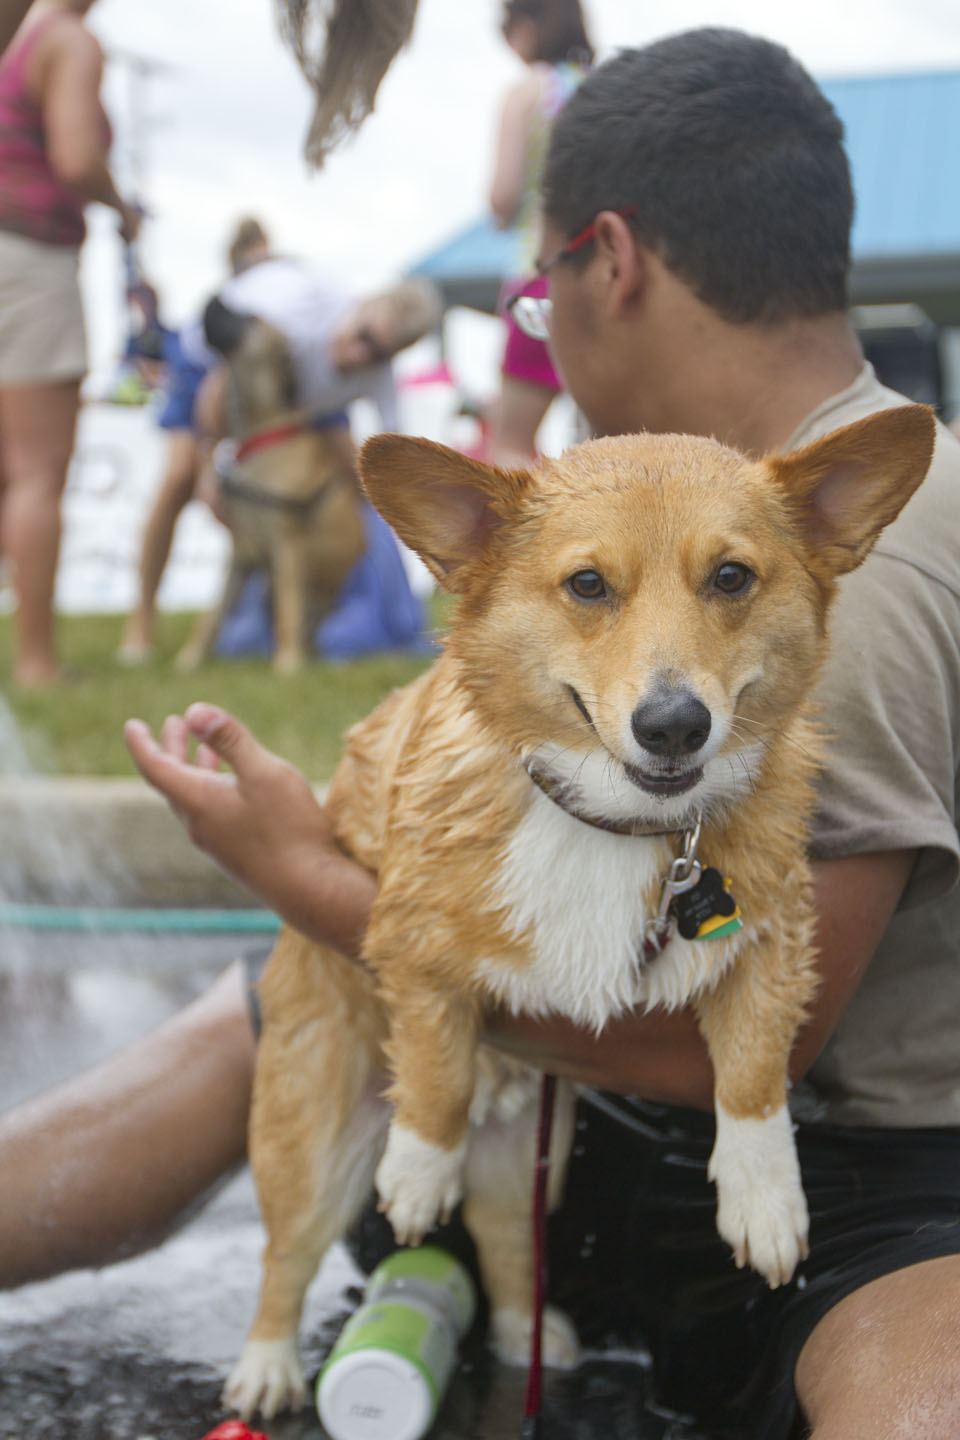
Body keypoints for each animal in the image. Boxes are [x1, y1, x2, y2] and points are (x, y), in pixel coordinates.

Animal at [223, 403, 932, 1416]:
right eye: (588, 585)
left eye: (731, 577)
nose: (674, 726)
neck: (619, 823)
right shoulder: (407, 941)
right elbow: (436, 1066)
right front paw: (417, 1170)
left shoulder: (775, 939)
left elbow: (754, 1076)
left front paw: (765, 1203)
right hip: (308, 1140)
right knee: (286, 1255)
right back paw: (269, 1364)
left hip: (534, 1163)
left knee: (511, 1254)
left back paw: (536, 1339)